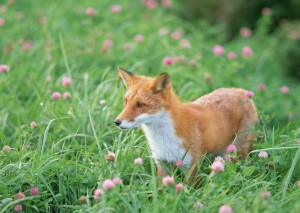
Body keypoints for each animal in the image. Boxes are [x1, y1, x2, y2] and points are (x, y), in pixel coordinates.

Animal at [115, 67, 258, 185]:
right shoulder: (162, 164)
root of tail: (243, 91)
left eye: (140, 105)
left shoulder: (191, 166)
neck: (164, 140)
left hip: (237, 152)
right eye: (126, 101)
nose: (116, 122)